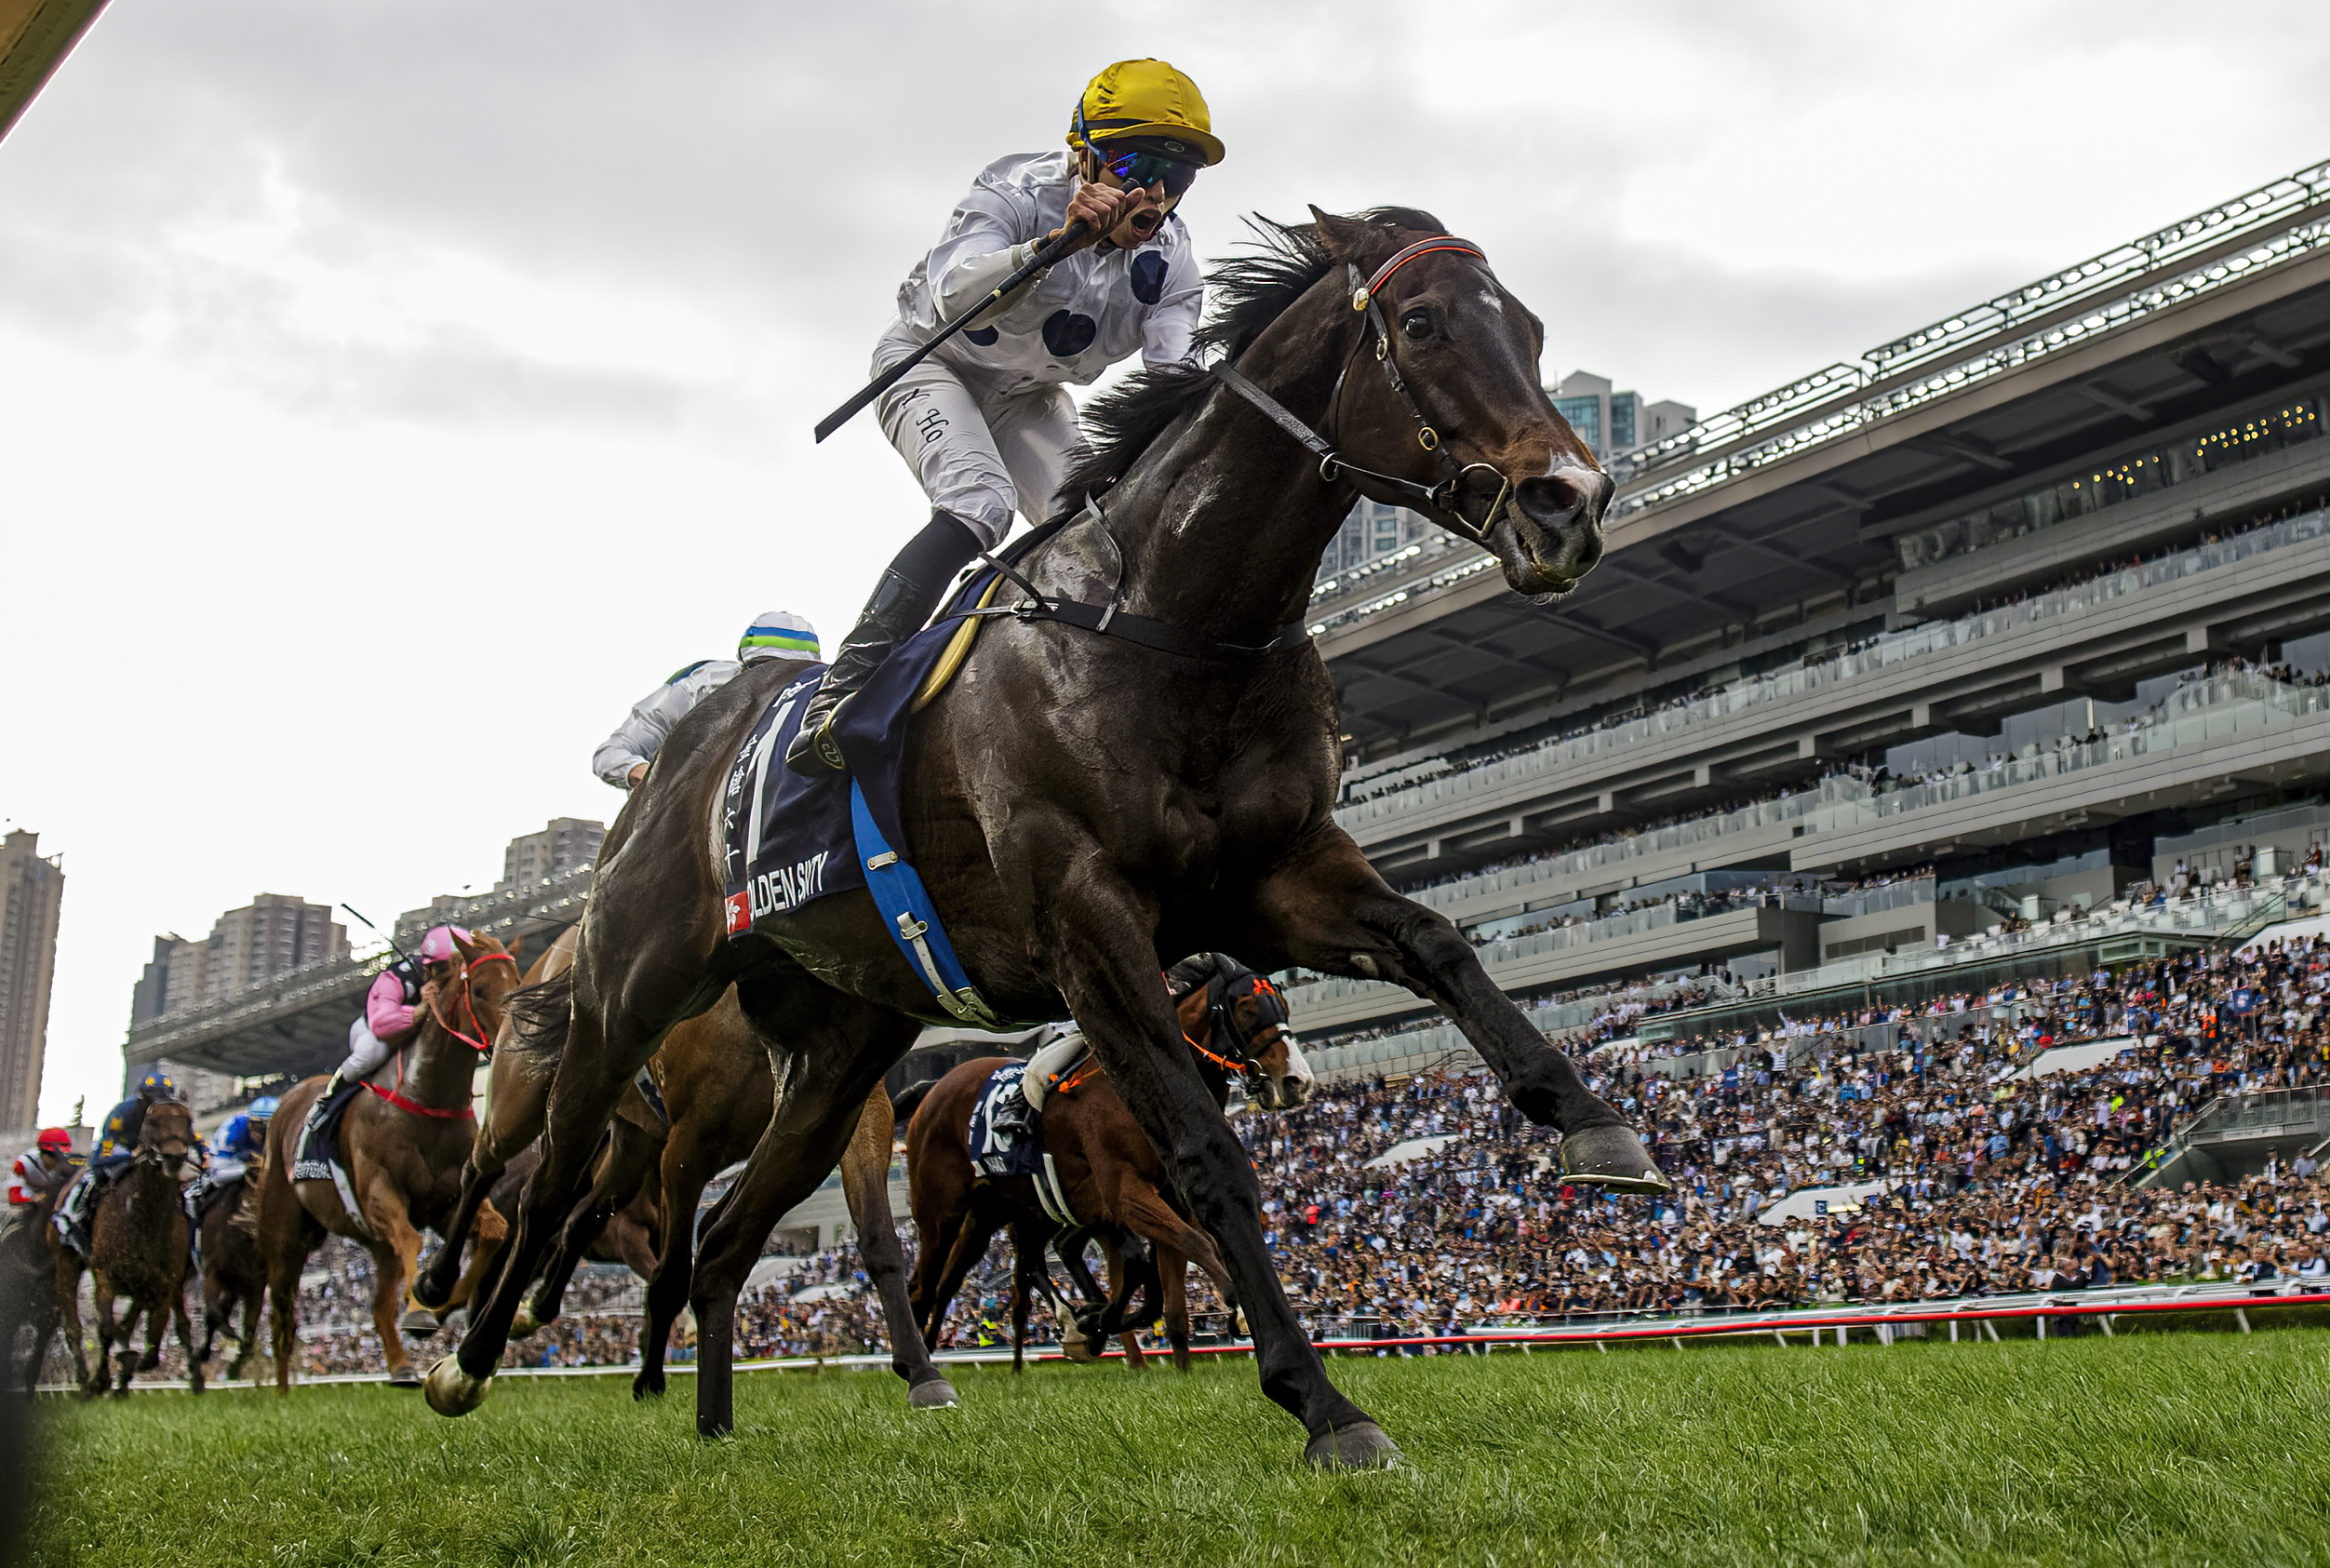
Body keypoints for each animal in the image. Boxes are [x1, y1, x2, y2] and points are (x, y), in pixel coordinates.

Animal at [57, 1099, 199, 1398]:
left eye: (188, 1121)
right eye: (153, 1121)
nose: (174, 1157)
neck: (144, 1216)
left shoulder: (163, 1277)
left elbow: (158, 1318)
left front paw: (143, 1358)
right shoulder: (106, 1274)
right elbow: (107, 1328)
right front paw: (108, 1375)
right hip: (66, 1263)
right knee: (75, 1327)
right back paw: (88, 1382)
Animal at [260, 931, 524, 1379]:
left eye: (519, 981)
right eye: (480, 989)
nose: (515, 1041)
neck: (426, 1099)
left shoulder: (446, 1203)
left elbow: (494, 1229)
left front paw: (438, 1297)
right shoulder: (381, 1193)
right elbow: (413, 1239)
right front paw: (419, 1306)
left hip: (374, 1244)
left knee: (379, 1303)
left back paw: (400, 1367)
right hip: (284, 1232)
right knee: (282, 1312)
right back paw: (277, 1385)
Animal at [433, 207, 1658, 1472]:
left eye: (1531, 330)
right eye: (1420, 324)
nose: (1569, 501)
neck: (1172, 621)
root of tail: (675, 760)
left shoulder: (1276, 876)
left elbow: (1440, 945)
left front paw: (1598, 1128)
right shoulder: (1086, 921)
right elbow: (1204, 1157)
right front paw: (1321, 1401)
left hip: (840, 1054)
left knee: (725, 1233)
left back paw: (720, 1422)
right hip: (631, 994)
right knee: (551, 1180)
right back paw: (462, 1355)